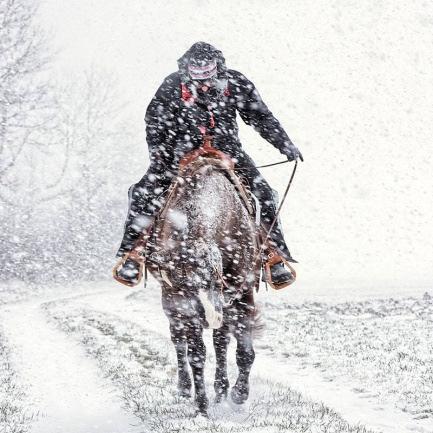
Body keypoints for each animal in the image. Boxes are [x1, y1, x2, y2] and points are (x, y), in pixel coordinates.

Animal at [145, 138, 260, 416]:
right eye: (187, 283)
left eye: (215, 280)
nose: (209, 316)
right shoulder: (184, 301)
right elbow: (196, 353)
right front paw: (202, 408)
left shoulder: (242, 293)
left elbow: (244, 351)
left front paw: (239, 394)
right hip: (172, 304)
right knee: (179, 341)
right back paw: (185, 388)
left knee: (220, 342)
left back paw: (221, 389)